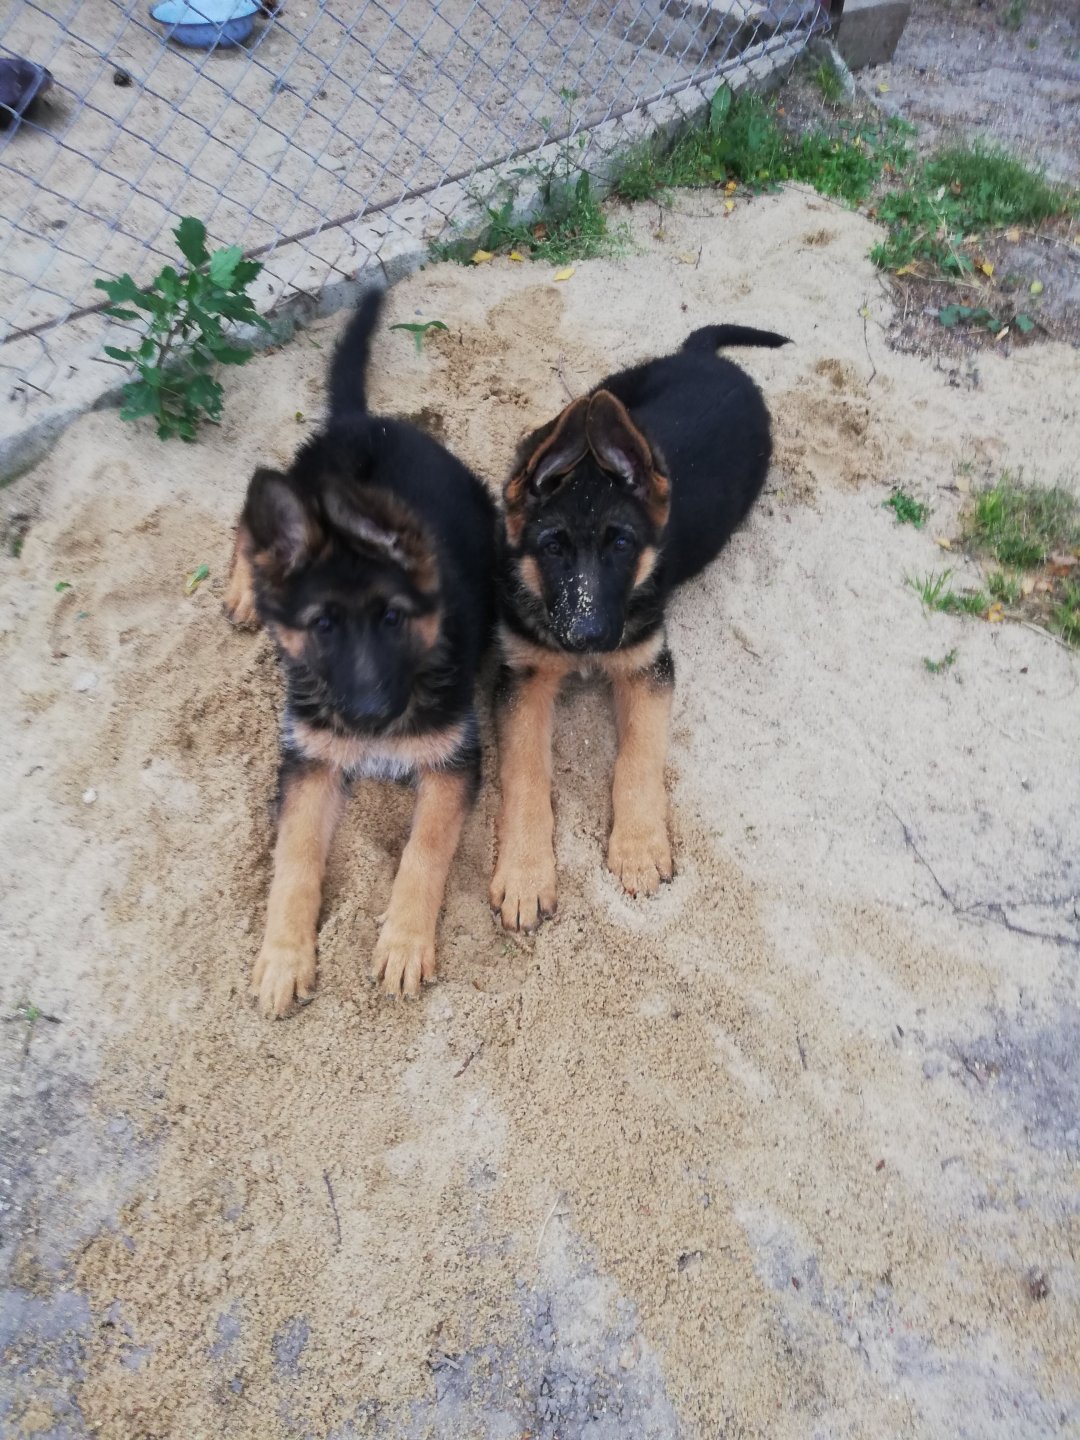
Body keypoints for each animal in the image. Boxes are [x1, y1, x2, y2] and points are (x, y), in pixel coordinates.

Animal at [225, 290, 497, 1013]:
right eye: (323, 626)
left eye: (394, 619)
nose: (371, 717)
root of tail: (359, 423)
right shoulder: (310, 763)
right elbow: (293, 860)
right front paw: (283, 956)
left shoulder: (452, 765)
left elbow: (423, 853)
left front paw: (403, 942)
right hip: (287, 491)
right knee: (249, 526)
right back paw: (244, 590)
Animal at [490, 323, 789, 931]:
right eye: (552, 547)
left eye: (622, 546)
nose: (588, 640)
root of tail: (706, 359)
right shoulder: (522, 677)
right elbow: (525, 773)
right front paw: (526, 875)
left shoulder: (649, 667)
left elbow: (639, 758)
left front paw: (639, 848)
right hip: (606, 391)